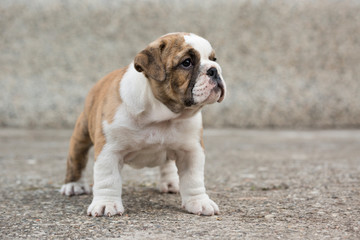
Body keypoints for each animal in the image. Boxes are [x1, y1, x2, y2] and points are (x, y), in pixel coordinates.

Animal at [60, 32, 226, 217]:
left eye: (213, 59)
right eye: (187, 62)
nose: (214, 69)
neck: (161, 115)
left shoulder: (191, 150)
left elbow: (193, 179)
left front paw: (199, 202)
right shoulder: (108, 150)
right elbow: (107, 178)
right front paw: (106, 204)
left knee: (167, 163)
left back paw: (170, 183)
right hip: (81, 132)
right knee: (76, 158)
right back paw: (73, 185)